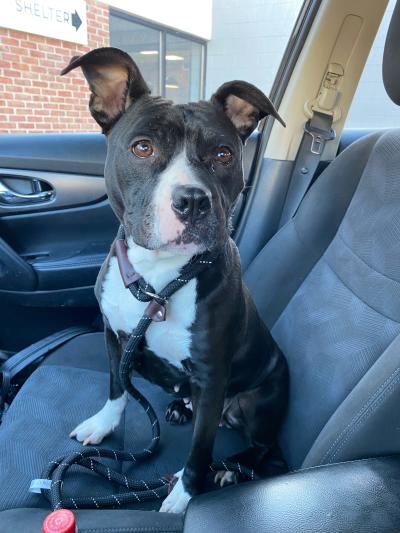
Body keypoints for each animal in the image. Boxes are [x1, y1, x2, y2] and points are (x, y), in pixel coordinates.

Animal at [61, 47, 288, 512]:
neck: (158, 277)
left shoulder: (213, 376)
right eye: (142, 147)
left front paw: (185, 493)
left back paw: (230, 468)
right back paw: (181, 407)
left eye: (223, 154)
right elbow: (117, 387)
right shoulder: (114, 336)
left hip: (260, 399)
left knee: (267, 449)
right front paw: (103, 424)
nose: (193, 200)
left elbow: (199, 449)